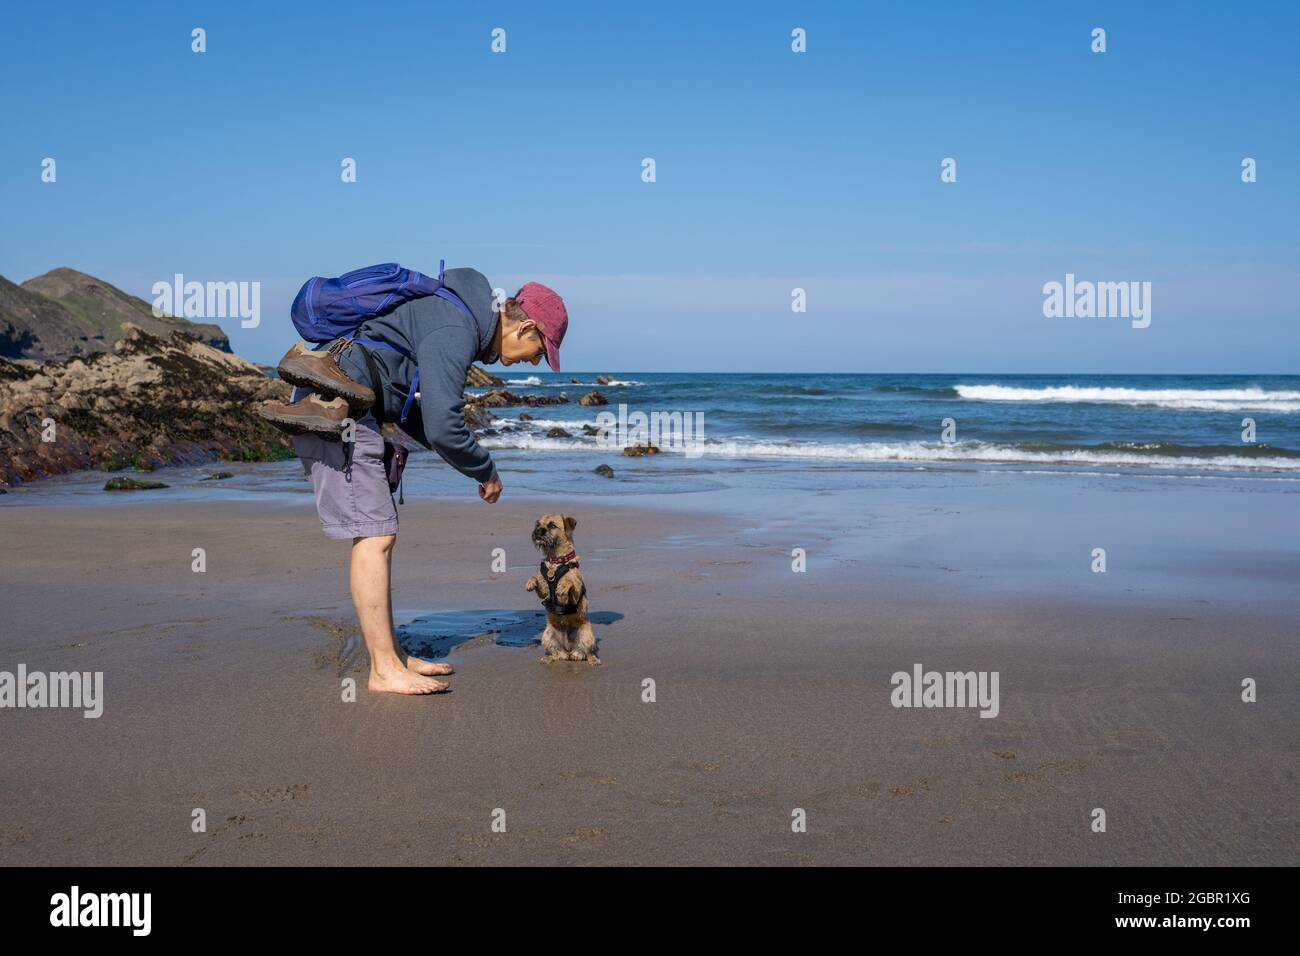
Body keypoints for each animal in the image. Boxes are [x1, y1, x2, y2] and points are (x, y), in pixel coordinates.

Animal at [522, 515, 598, 665]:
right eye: (538, 524)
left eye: (552, 525)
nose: (537, 531)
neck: (556, 560)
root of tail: (568, 651)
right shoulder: (544, 591)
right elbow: (537, 579)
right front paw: (530, 582)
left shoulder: (575, 595)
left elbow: (571, 583)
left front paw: (562, 587)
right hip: (547, 635)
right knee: (557, 654)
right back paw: (548, 658)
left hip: (587, 634)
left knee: (587, 652)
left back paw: (593, 660)